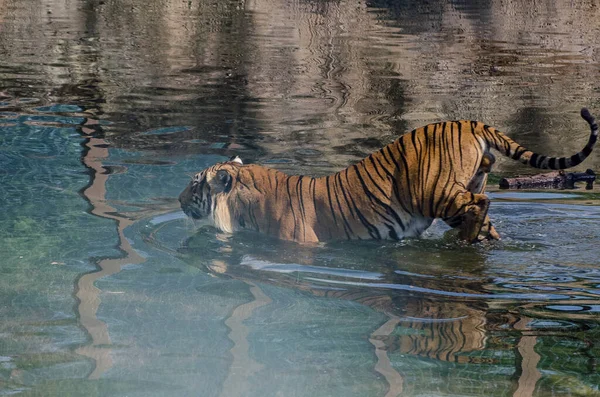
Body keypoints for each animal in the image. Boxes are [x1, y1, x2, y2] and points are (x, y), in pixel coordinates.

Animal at [177, 106, 596, 243]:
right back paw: (473, 242)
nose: (178, 201)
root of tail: (469, 122)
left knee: (482, 203)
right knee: (486, 217)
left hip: (436, 192)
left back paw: (461, 243)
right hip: (461, 188)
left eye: (194, 184)